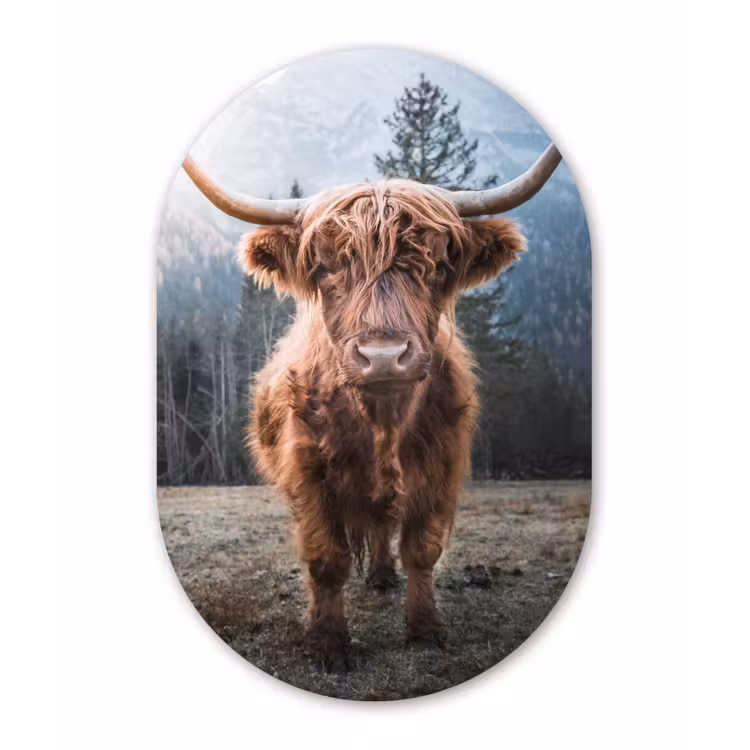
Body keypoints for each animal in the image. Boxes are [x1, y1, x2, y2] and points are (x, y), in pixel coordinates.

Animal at [182, 145, 562, 670]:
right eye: (325, 267)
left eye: (435, 264)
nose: (383, 356)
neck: (382, 422)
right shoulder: (308, 473)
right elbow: (327, 558)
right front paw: (328, 643)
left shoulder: (441, 467)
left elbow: (422, 550)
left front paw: (425, 629)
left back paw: (383, 575)